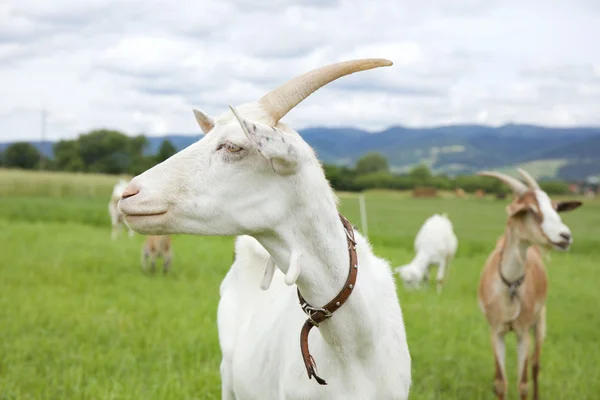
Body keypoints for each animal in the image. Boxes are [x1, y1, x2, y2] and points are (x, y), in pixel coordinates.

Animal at [476, 170, 580, 400]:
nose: (565, 236)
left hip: (540, 321)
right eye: (530, 209)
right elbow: (500, 383)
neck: (510, 286)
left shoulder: (524, 332)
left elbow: (522, 383)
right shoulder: (495, 330)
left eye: (555, 207)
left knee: (535, 365)